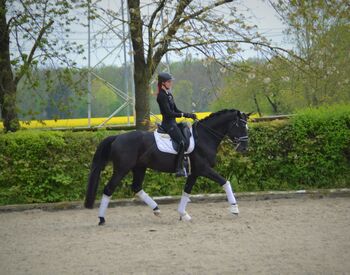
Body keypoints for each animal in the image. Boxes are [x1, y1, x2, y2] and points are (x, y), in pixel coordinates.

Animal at [84, 109, 249, 225]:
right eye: (241, 125)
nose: (244, 148)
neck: (203, 137)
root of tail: (117, 137)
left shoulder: (194, 172)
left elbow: (187, 191)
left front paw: (183, 214)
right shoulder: (204, 169)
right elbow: (225, 182)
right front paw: (235, 208)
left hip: (139, 167)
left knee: (136, 187)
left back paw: (156, 209)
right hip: (122, 169)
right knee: (109, 189)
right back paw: (101, 218)